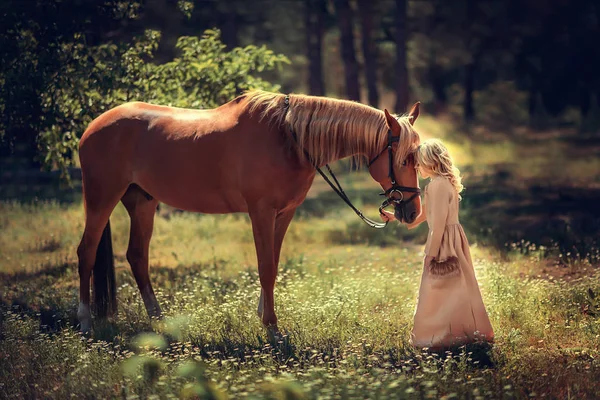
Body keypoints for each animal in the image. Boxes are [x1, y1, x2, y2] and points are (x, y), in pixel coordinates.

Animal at [76, 90, 422, 334]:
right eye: (404, 158)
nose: (413, 212)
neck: (287, 139)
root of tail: (92, 126)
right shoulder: (261, 212)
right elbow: (265, 267)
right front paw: (271, 326)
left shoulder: (284, 213)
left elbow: (274, 265)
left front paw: (262, 314)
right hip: (101, 198)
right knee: (87, 252)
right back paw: (85, 323)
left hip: (142, 202)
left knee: (137, 256)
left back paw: (158, 319)